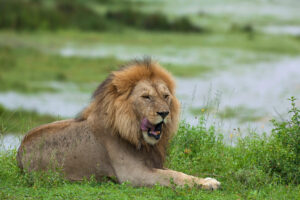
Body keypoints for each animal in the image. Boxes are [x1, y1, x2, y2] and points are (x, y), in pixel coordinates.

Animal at [17, 58, 221, 190]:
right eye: (146, 97)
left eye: (165, 96)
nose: (164, 113)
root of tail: (19, 151)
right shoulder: (133, 174)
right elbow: (173, 176)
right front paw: (208, 184)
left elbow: (179, 172)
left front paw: (208, 180)